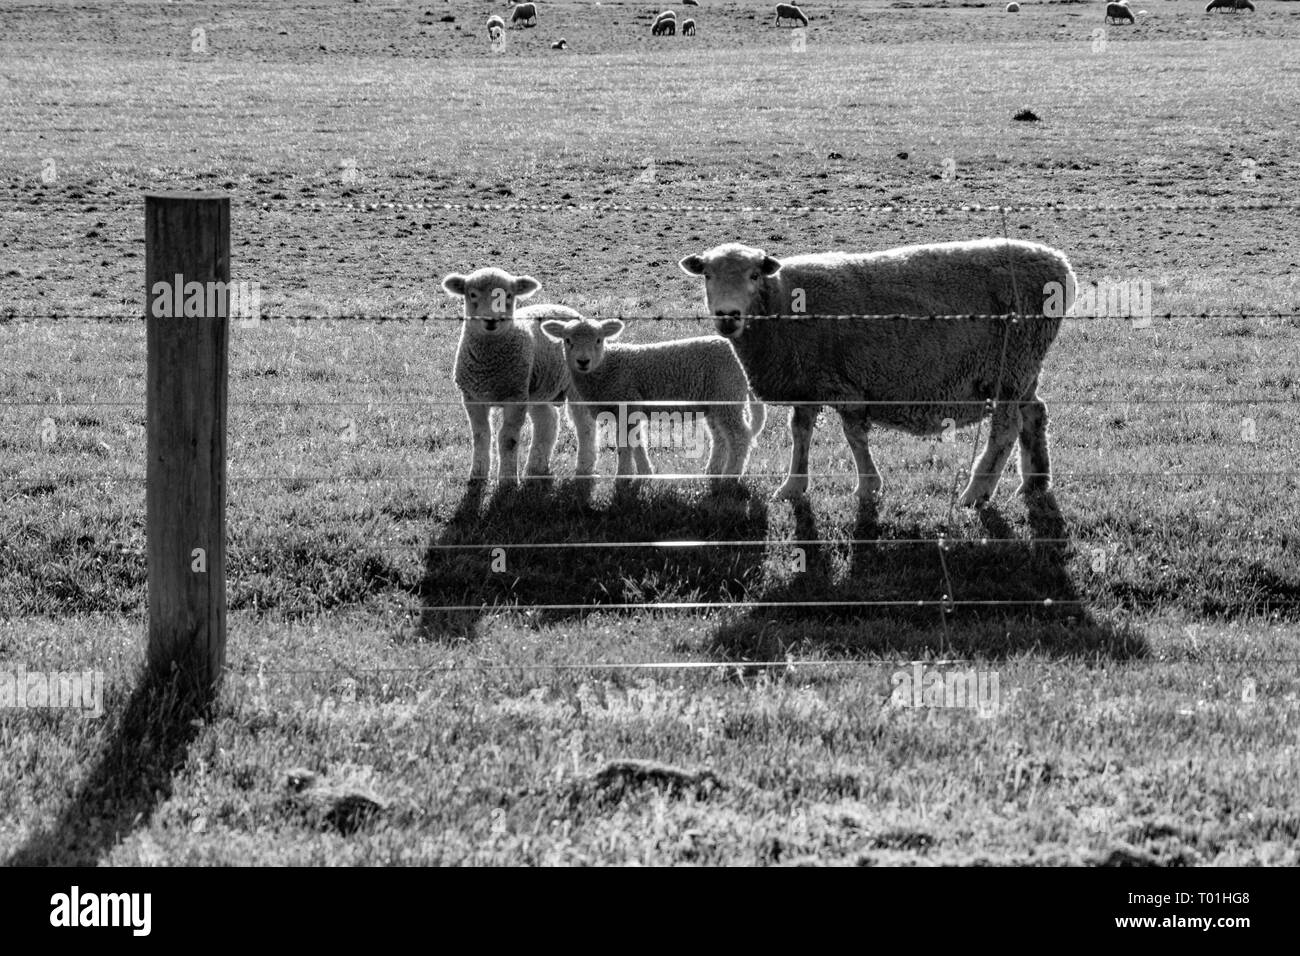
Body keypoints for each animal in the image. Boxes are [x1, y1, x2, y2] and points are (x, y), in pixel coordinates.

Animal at [439, 267, 595, 486]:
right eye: (472, 294)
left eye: (509, 296)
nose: (491, 320)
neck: (489, 365)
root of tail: (571, 312)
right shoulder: (472, 397)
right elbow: (480, 435)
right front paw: (477, 474)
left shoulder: (515, 397)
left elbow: (508, 439)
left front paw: (507, 480)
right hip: (537, 388)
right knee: (548, 421)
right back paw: (535, 468)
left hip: (575, 384)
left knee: (586, 427)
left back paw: (584, 469)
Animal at [535, 316, 759, 494]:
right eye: (567, 340)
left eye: (599, 340)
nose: (583, 361)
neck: (606, 367)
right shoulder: (632, 408)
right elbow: (637, 442)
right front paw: (645, 474)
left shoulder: (625, 402)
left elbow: (625, 445)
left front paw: (622, 479)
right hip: (716, 401)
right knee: (720, 438)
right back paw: (712, 471)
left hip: (728, 392)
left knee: (739, 437)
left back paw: (730, 478)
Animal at [681, 239, 1076, 509]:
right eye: (708, 275)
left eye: (753, 275)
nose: (727, 315)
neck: (781, 303)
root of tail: (1060, 264)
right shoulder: (809, 381)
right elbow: (800, 434)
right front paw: (792, 486)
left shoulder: (846, 386)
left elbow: (854, 436)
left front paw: (868, 486)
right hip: (1025, 367)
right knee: (1035, 413)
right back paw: (1034, 483)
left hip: (1010, 365)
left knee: (1006, 429)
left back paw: (976, 493)